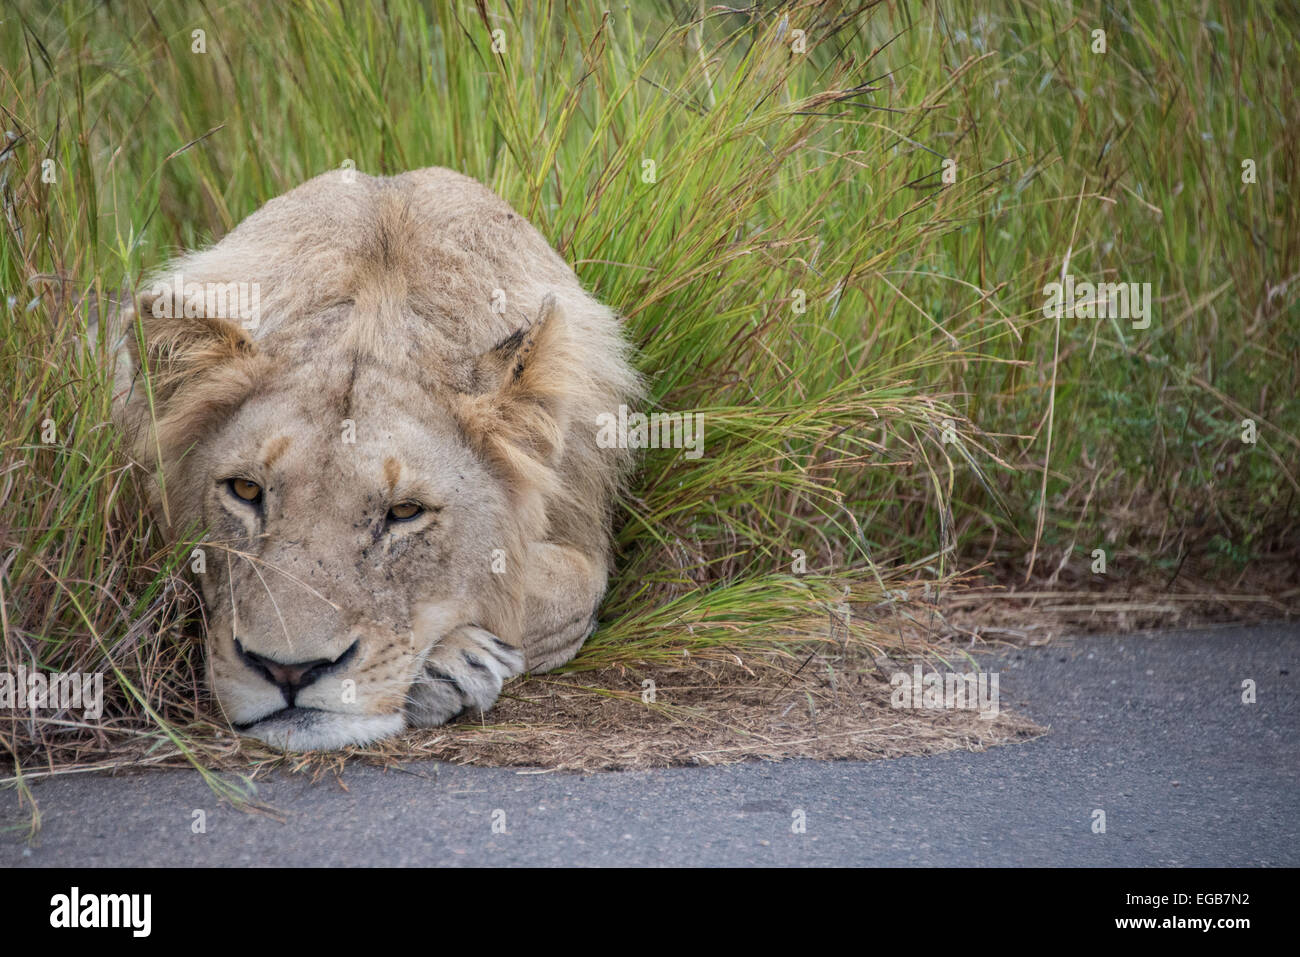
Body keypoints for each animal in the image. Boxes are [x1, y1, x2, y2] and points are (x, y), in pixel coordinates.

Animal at [113, 167, 641, 750]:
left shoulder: (583, 525)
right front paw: (454, 661)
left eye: (405, 512)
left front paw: (446, 664)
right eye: (245, 490)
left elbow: (558, 587)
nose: (288, 671)